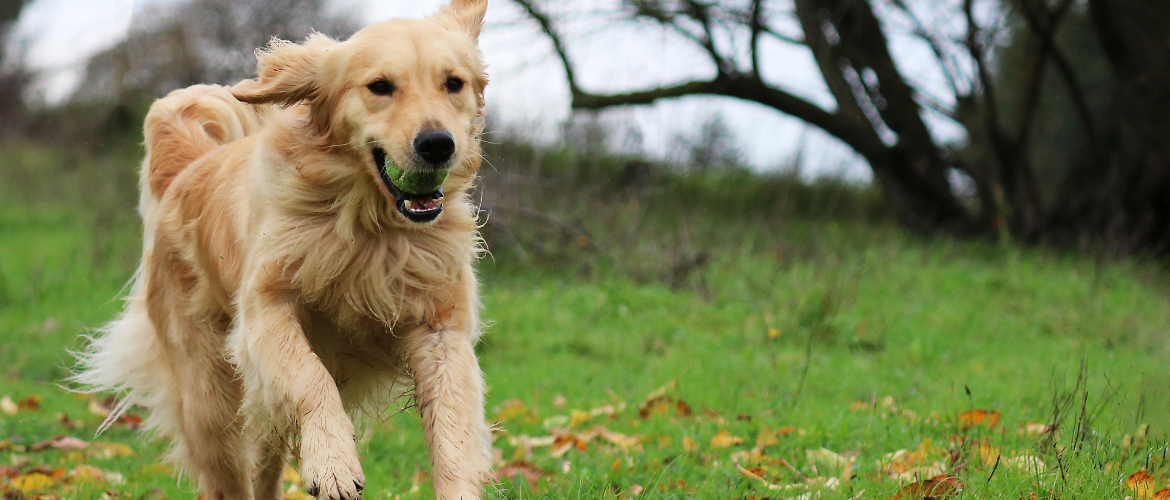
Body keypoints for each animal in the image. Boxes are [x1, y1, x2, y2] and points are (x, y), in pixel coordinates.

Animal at [73, 1, 493, 498]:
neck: (369, 227)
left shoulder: (441, 329)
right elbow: (311, 376)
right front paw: (332, 461)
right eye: (380, 87)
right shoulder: (265, 311)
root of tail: (190, 166)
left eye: (453, 83)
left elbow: (454, 430)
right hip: (208, 396)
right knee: (226, 471)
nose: (437, 144)